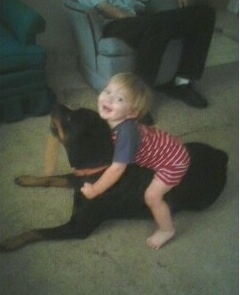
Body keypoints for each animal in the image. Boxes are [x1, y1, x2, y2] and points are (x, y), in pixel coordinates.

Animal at [0, 104, 228, 252]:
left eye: (70, 119)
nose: (55, 104)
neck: (100, 168)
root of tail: (221, 156)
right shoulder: (76, 178)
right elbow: (53, 178)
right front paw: (26, 179)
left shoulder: (78, 227)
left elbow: (37, 231)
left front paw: (11, 242)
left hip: (200, 201)